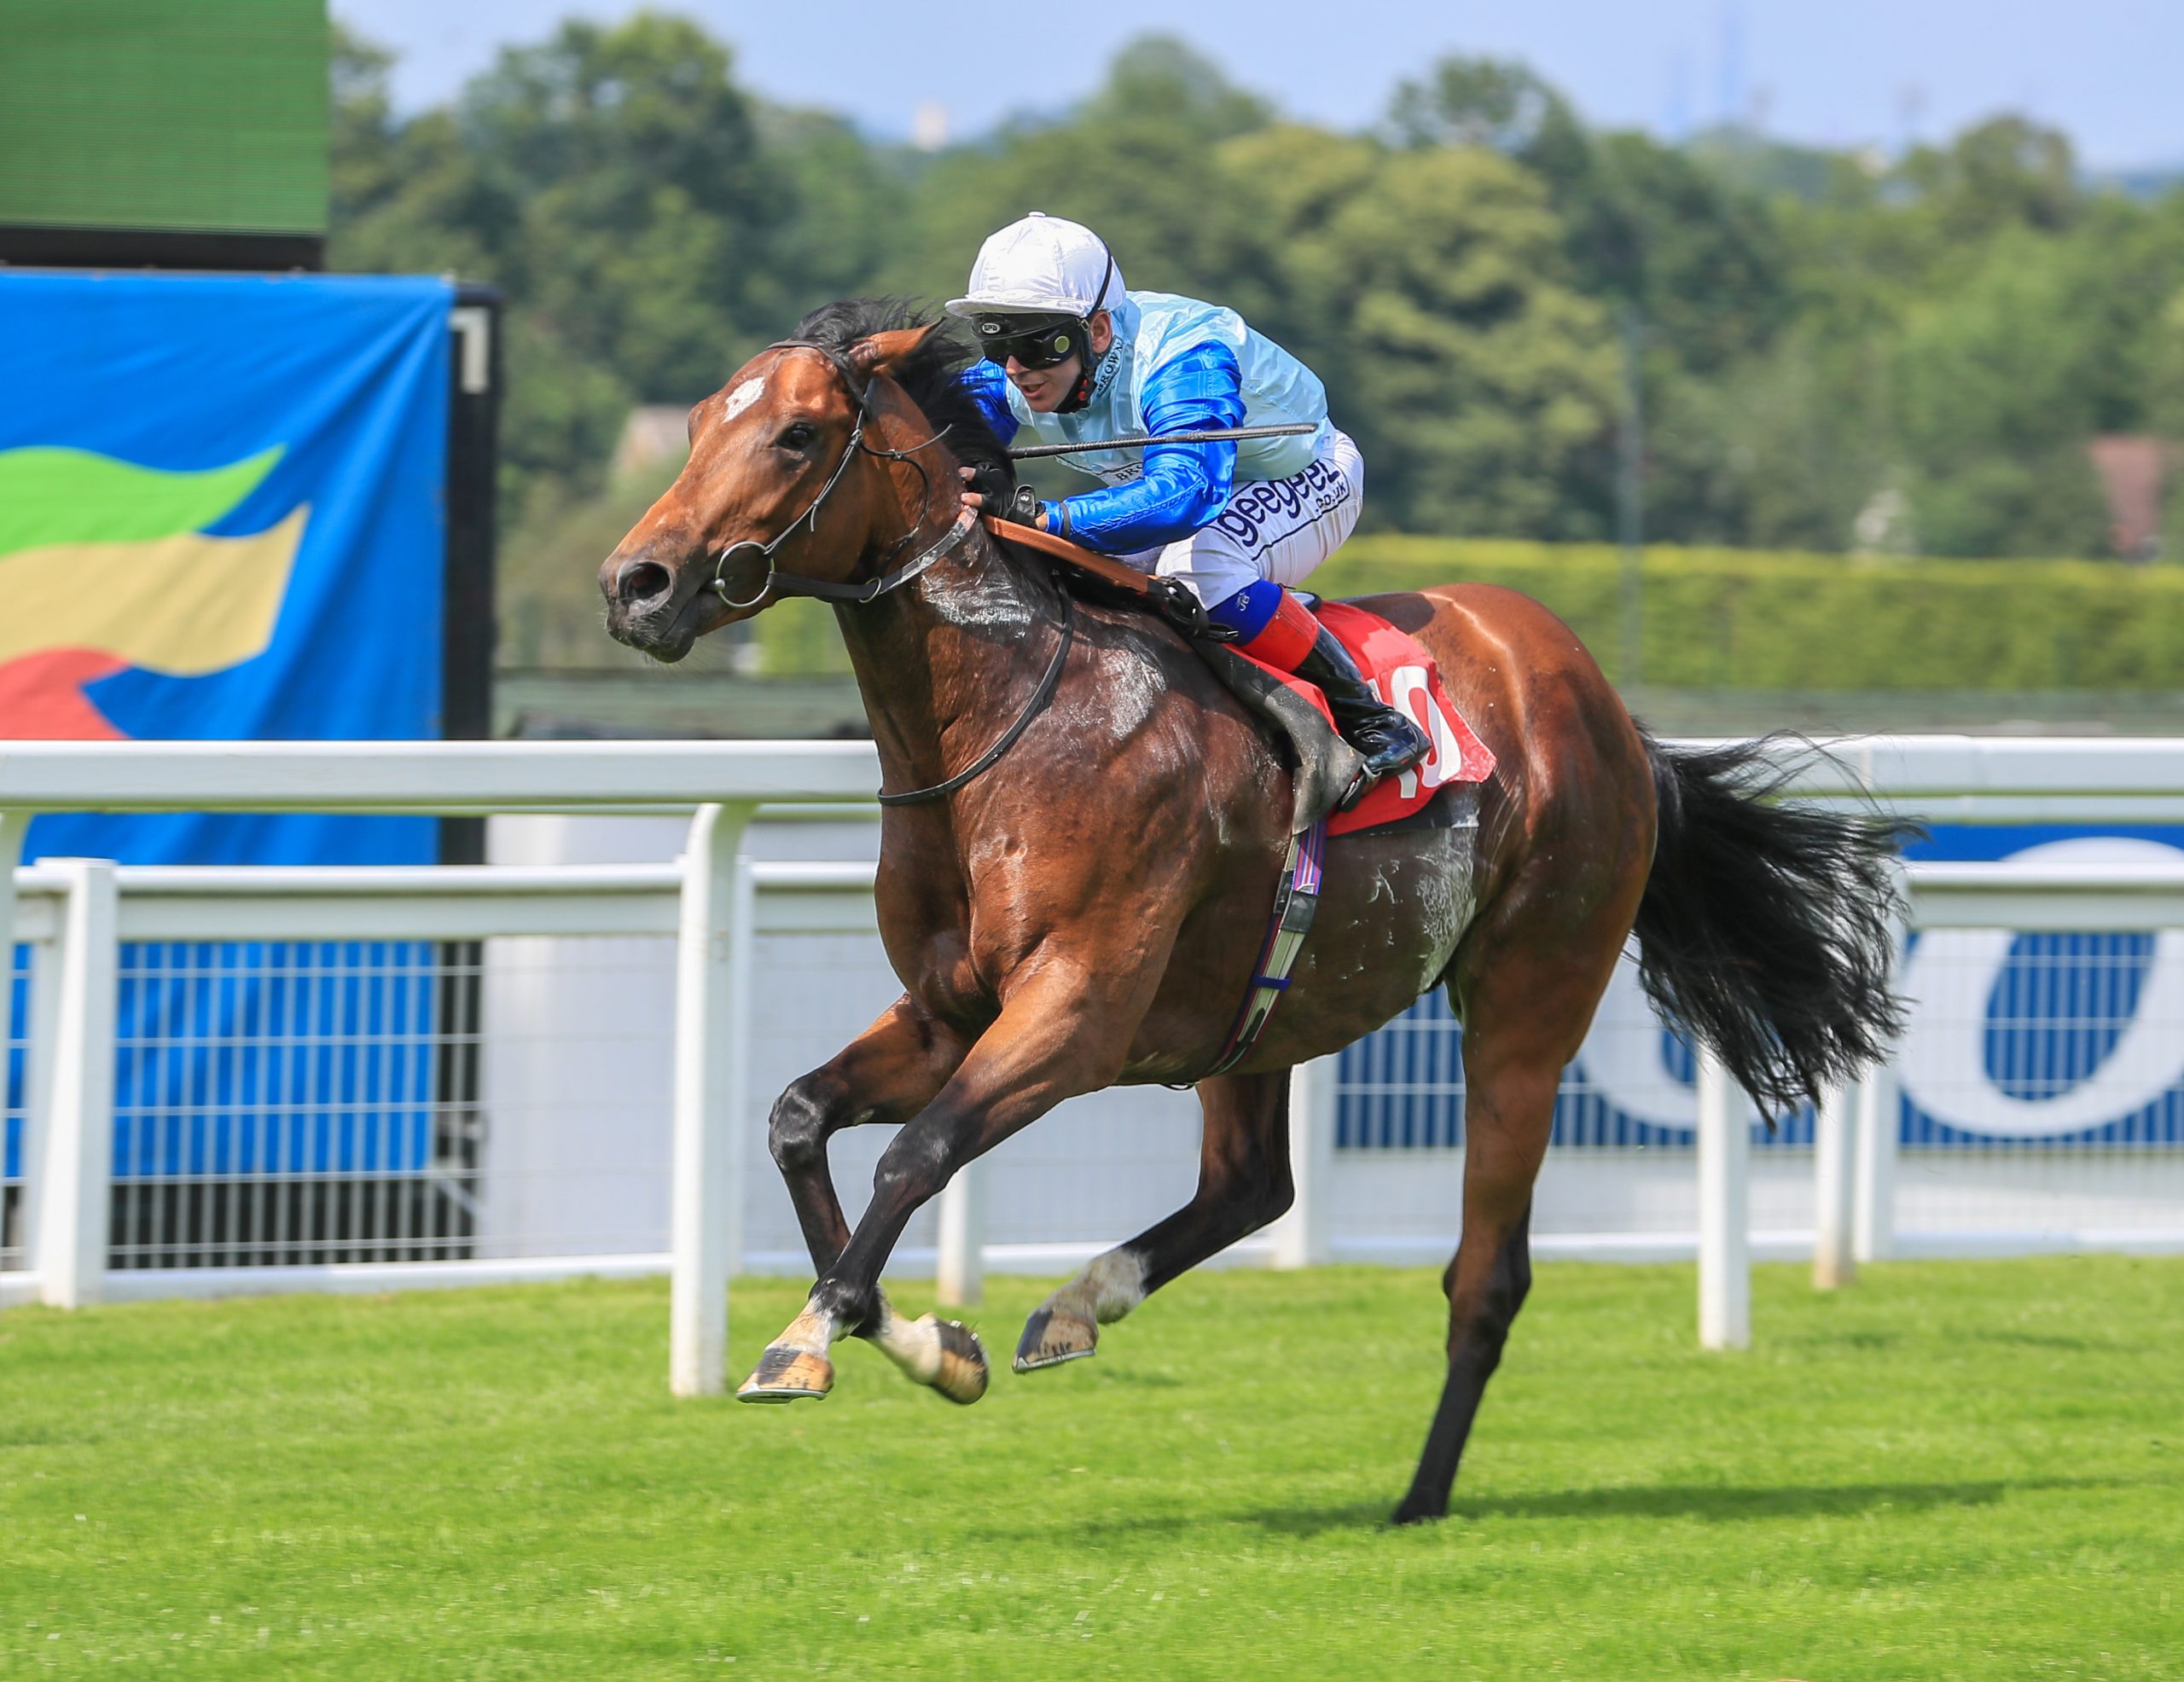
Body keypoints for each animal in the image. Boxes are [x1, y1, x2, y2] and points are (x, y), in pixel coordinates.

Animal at [598, 300, 1909, 1525]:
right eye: (703, 422)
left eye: (797, 433)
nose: (634, 585)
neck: (1008, 719)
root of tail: (1607, 709)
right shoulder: (947, 1012)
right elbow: (799, 1118)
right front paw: (916, 1340)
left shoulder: (1075, 1014)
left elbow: (916, 1152)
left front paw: (808, 1342)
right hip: (1261, 1008)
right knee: (1253, 1186)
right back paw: (1079, 1305)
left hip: (1530, 1002)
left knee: (1484, 1274)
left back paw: (1419, 1496)